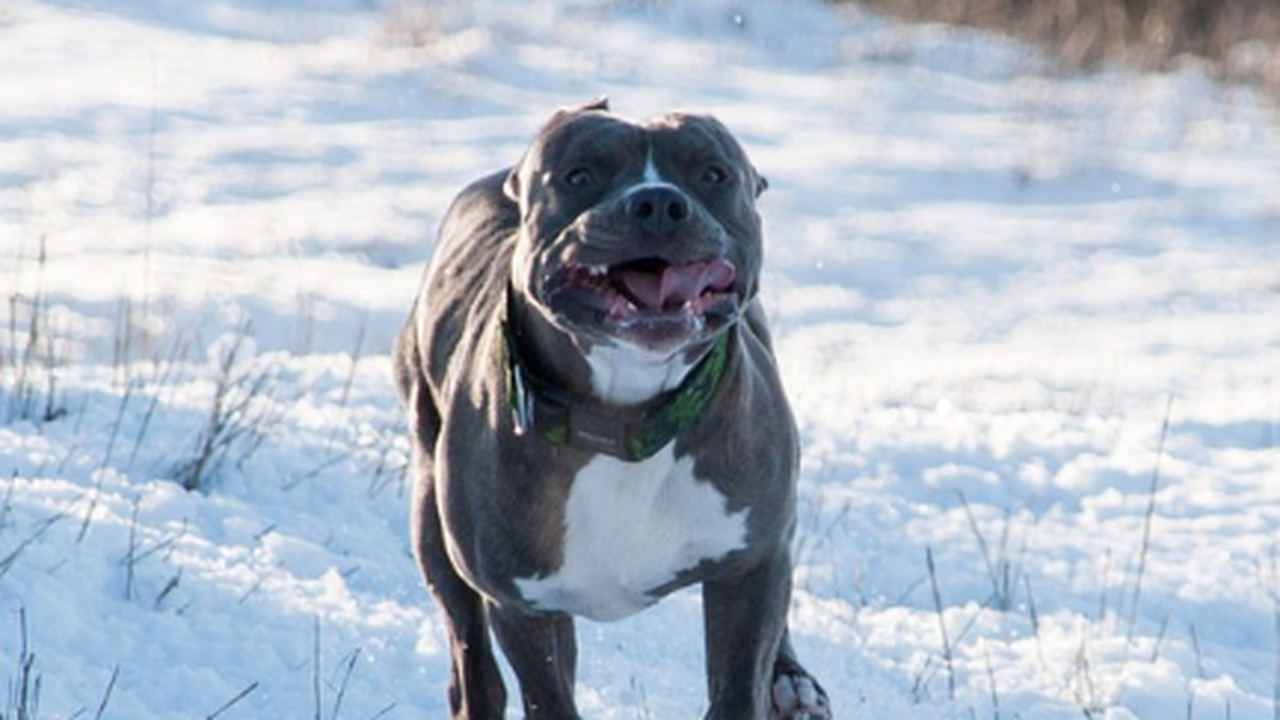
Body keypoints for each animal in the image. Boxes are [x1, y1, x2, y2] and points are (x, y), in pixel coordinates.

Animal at [391, 99, 829, 717]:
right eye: (579, 176)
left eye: (713, 174)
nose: (659, 203)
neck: (626, 419)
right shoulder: (522, 605)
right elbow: (546, 696)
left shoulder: (753, 563)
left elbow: (740, 681)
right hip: (434, 520)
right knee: (471, 659)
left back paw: (793, 682)